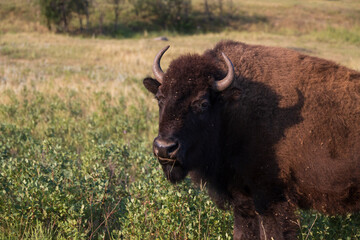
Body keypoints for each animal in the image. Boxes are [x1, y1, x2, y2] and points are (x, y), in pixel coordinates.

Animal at [143, 40, 360, 239]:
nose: (164, 148)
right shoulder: (244, 202)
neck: (231, 111)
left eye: (203, 103)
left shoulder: (271, 199)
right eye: (160, 98)